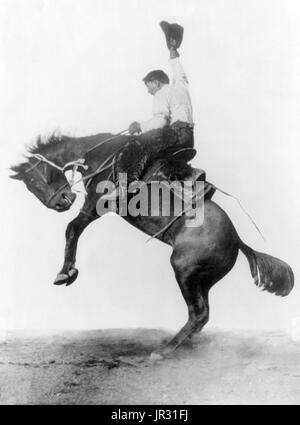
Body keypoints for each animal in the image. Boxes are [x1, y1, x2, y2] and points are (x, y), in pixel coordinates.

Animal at [10, 132, 294, 358]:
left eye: (33, 181)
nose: (62, 202)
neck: (101, 155)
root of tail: (237, 241)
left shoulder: (96, 203)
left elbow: (72, 228)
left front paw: (65, 273)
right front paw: (67, 271)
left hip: (184, 269)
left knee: (198, 313)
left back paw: (163, 351)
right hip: (203, 279)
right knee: (202, 315)